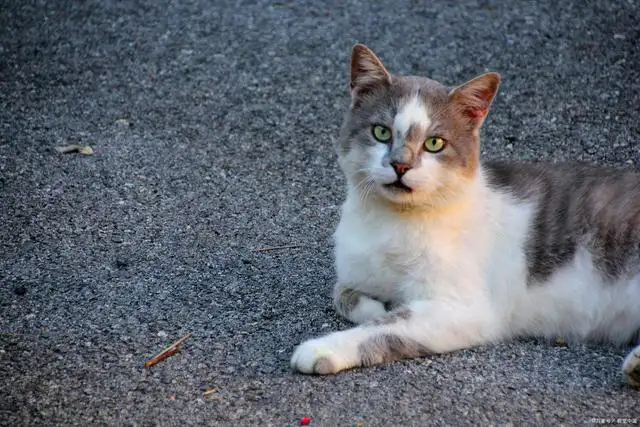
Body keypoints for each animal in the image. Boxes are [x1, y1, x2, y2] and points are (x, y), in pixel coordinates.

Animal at [292, 44, 640, 388]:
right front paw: (372, 306)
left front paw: (323, 348)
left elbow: (385, 327)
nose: (400, 165)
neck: (393, 222)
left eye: (434, 143)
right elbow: (342, 292)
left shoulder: (462, 309)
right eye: (381, 132)